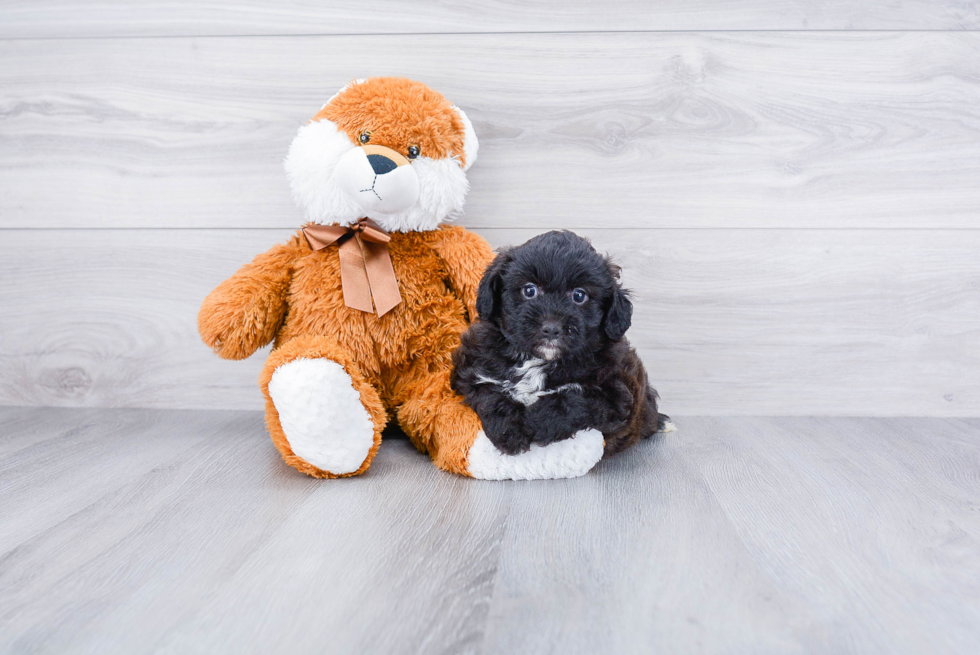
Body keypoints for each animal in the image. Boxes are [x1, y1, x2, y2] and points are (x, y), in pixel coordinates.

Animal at [450, 231, 668, 456]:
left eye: (579, 295)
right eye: (529, 290)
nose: (552, 328)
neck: (538, 360)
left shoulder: (616, 396)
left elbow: (572, 402)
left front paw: (534, 423)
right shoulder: (471, 369)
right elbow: (489, 395)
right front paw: (509, 432)